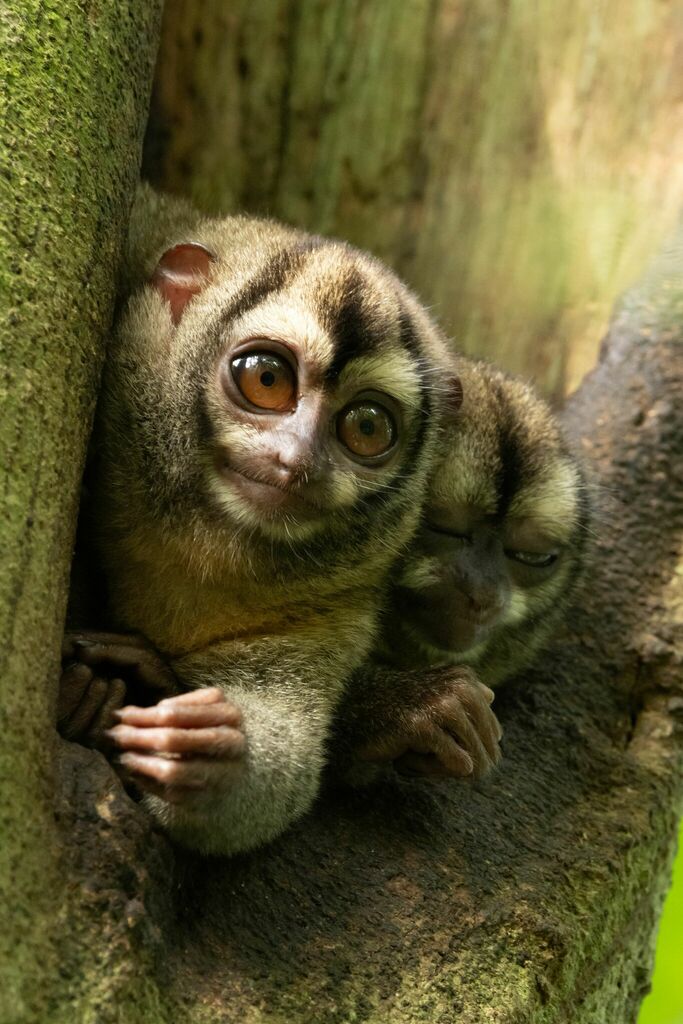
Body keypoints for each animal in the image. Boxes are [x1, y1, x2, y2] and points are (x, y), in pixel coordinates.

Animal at [58, 184, 460, 856]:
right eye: (267, 379)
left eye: (367, 426)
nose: (295, 462)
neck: (190, 534)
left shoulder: (334, 609)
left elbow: (286, 765)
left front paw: (210, 754)